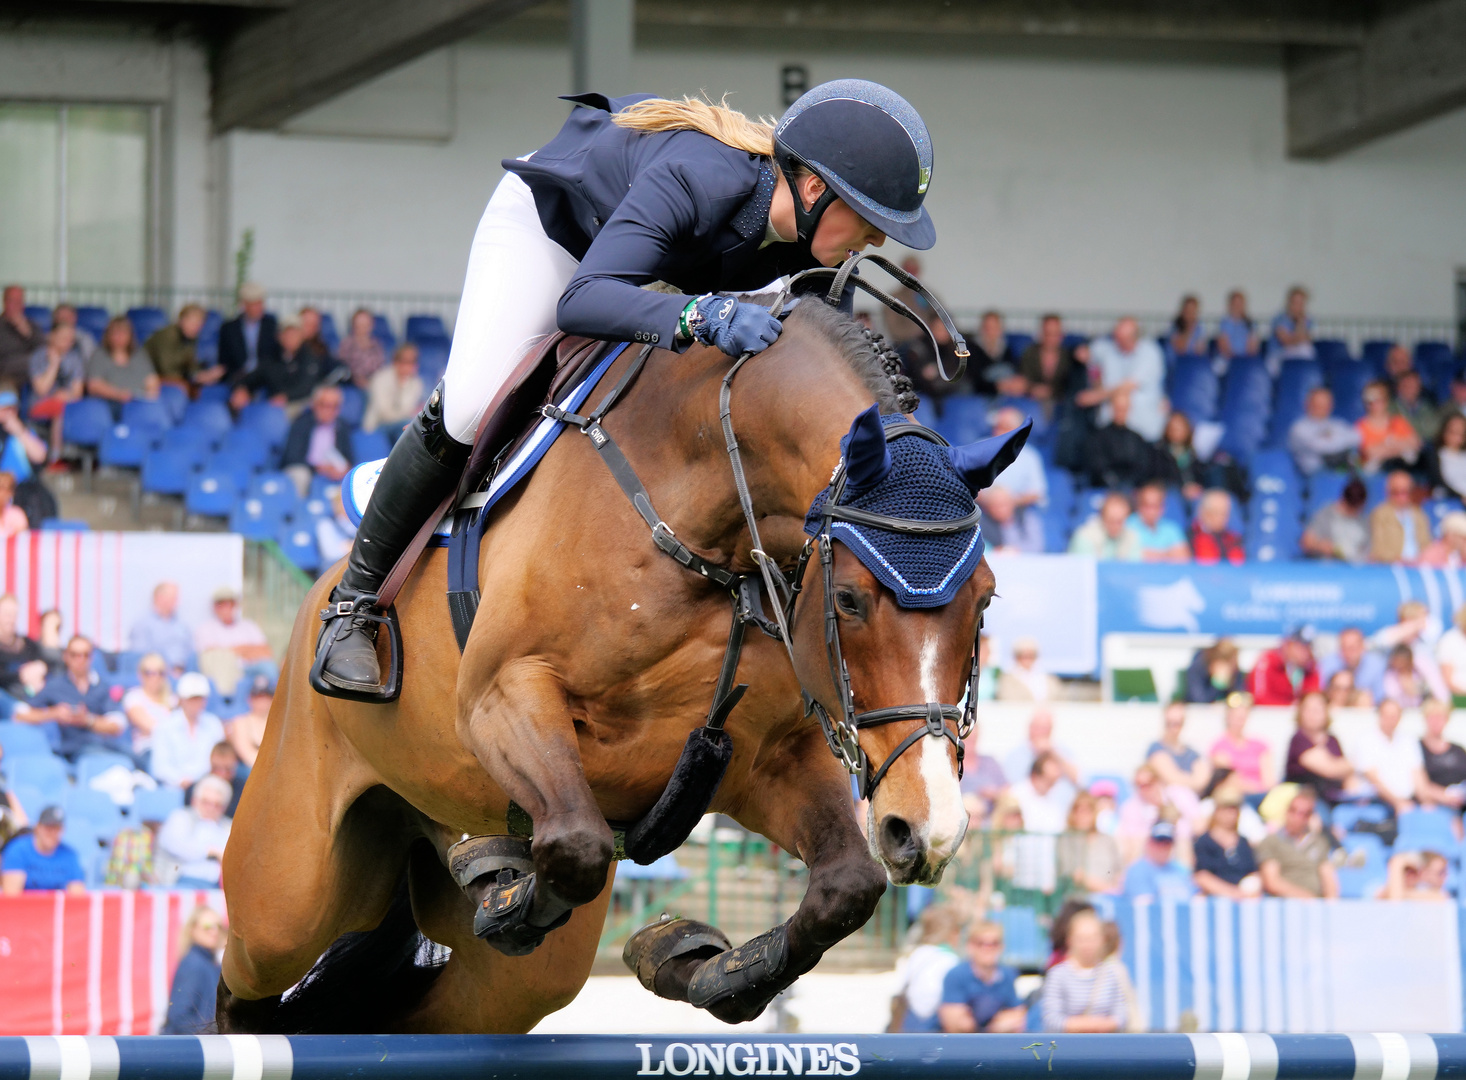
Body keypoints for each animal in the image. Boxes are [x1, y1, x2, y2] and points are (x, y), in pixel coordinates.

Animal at [222, 293, 1014, 1025]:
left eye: (984, 599)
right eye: (848, 599)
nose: (926, 831)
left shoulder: (766, 759)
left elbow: (846, 887)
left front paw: (695, 961)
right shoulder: (505, 699)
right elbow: (576, 844)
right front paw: (512, 897)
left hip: (514, 977)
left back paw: (482, 865)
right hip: (288, 893)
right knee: (251, 977)